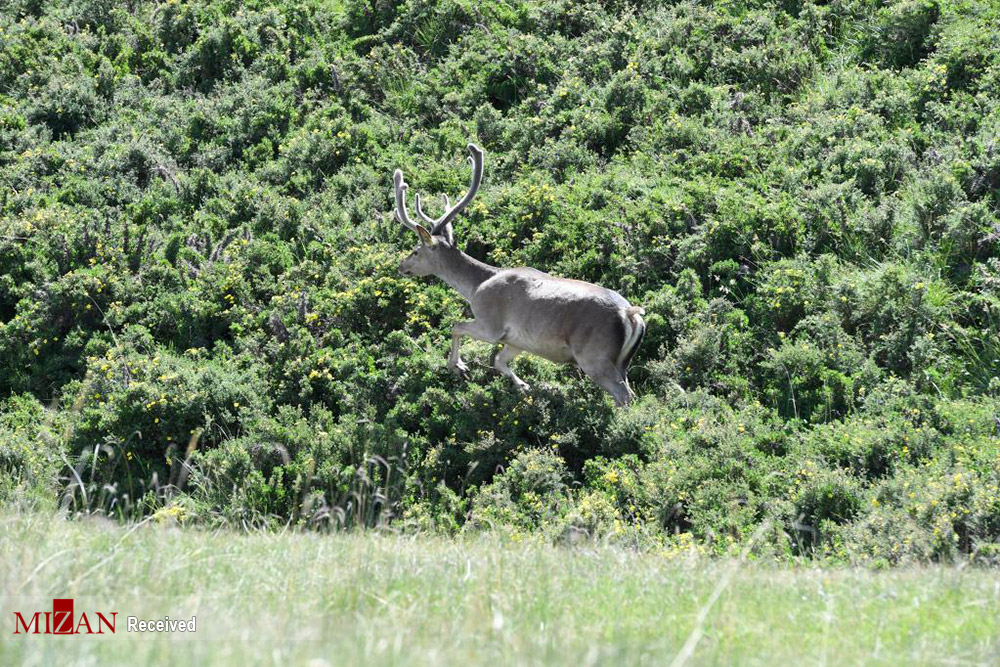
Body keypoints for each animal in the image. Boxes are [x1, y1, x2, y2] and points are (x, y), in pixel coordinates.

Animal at [394, 144, 644, 408]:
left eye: (416, 250)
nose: (401, 266)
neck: (475, 287)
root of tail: (631, 315)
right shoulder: (517, 340)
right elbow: (499, 361)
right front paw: (523, 386)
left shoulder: (491, 324)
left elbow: (456, 326)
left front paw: (458, 367)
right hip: (621, 361)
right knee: (630, 391)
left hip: (594, 354)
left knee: (624, 395)